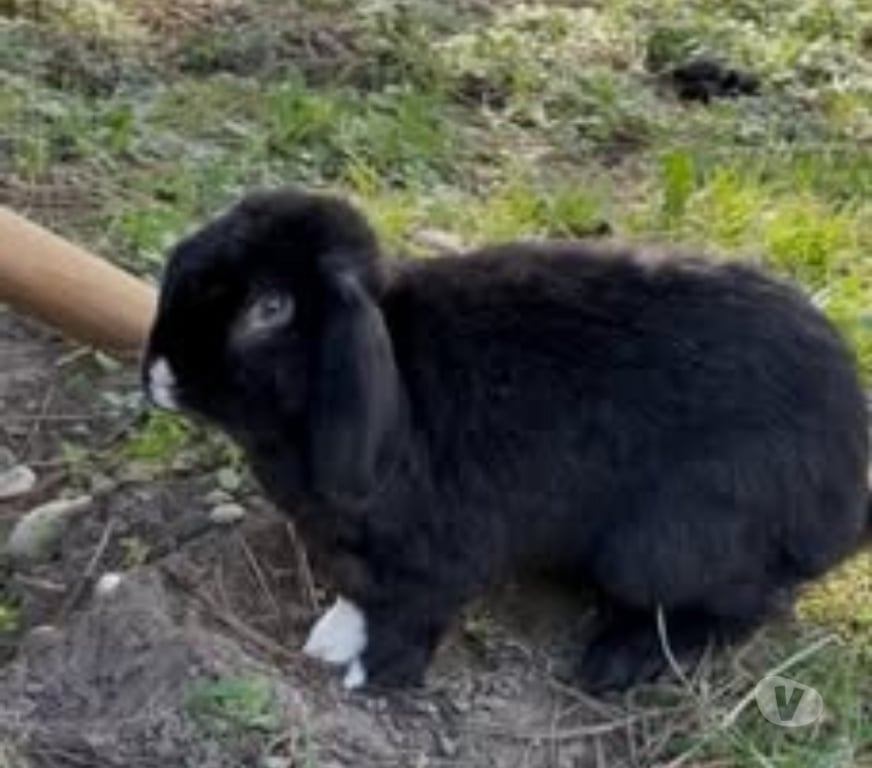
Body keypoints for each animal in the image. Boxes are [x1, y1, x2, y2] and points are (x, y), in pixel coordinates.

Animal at [142, 187, 870, 693]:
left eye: (270, 309)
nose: (158, 372)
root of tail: (842, 501)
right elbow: (359, 591)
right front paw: (332, 637)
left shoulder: (437, 557)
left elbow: (411, 612)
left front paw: (373, 674)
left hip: (663, 547)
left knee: (743, 604)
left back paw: (619, 660)